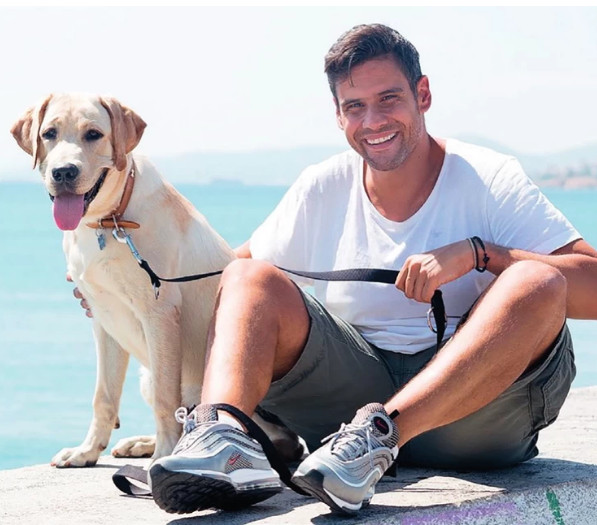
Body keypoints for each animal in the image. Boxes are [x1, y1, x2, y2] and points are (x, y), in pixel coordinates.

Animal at [11, 93, 302, 467]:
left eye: (93, 134)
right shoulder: (103, 318)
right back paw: (143, 443)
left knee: (263, 435)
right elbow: (103, 396)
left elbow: (166, 400)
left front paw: (163, 457)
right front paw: (87, 451)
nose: (64, 172)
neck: (108, 221)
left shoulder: (159, 314)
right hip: (145, 375)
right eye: (49, 133)